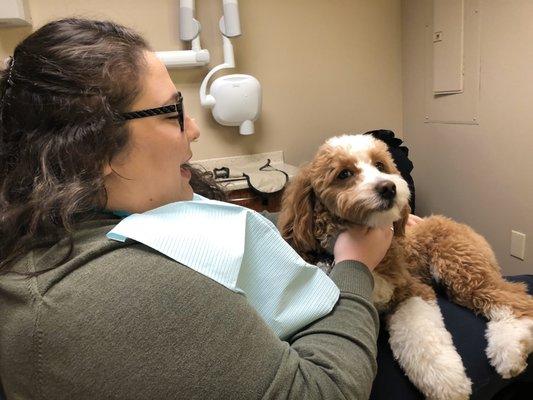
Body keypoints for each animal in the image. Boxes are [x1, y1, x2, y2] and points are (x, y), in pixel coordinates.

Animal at [278, 134, 532, 400]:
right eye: (344, 174)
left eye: (380, 165)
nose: (388, 187)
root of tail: (458, 225)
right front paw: (447, 383)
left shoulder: (411, 290)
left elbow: (422, 337)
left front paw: (447, 382)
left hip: (458, 267)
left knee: (516, 299)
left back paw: (509, 351)